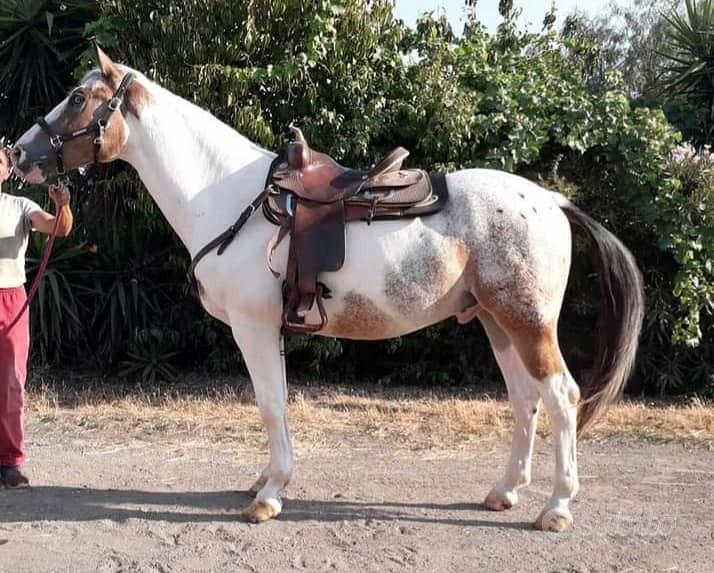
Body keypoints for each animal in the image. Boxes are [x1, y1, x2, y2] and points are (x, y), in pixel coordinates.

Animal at [11, 46, 644, 532]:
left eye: (77, 98)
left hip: (526, 321)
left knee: (560, 396)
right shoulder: (271, 330)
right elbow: (278, 404)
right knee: (523, 400)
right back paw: (505, 491)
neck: (223, 194)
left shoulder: (254, 327)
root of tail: (553, 201)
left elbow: (269, 405)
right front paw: (266, 481)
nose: (17, 152)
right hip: (495, 322)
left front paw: (269, 497)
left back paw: (556, 508)